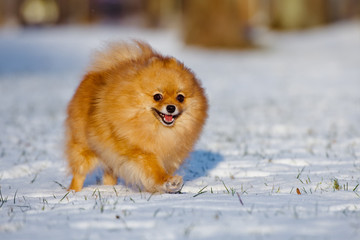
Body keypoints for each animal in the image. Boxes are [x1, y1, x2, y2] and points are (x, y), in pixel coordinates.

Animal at [64, 40, 208, 192]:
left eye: (180, 97)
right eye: (157, 96)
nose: (171, 107)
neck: (159, 130)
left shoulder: (172, 155)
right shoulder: (139, 150)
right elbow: (153, 168)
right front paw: (167, 180)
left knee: (109, 175)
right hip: (84, 148)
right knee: (79, 173)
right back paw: (74, 192)